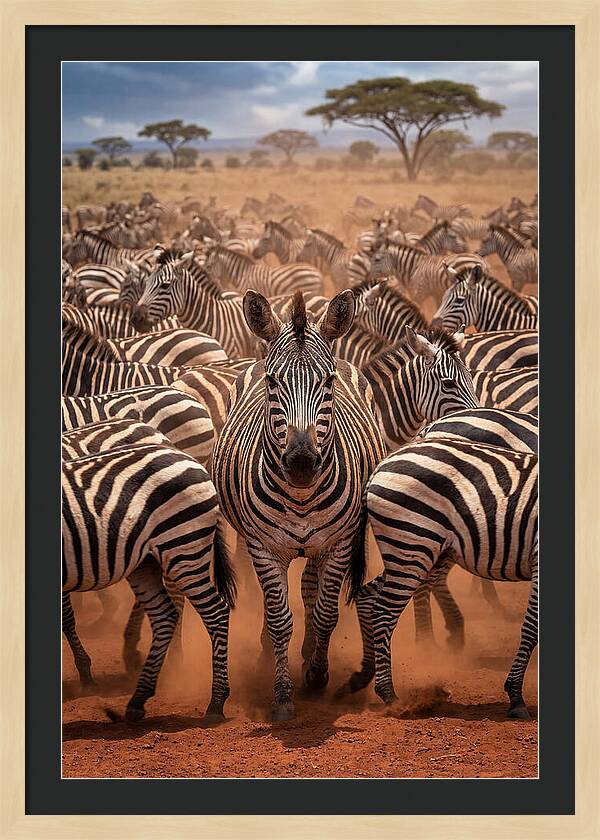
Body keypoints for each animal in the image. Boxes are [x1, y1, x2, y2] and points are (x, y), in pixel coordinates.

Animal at [62, 440, 236, 722]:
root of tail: (189, 458)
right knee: (165, 615)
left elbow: (66, 617)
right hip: (146, 561)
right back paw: (138, 698)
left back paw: (216, 703)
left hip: (183, 547)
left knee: (216, 613)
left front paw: (86, 674)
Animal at [213, 289, 385, 720]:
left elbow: (326, 611)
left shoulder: (340, 543)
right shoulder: (263, 547)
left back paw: (309, 654)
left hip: (324, 544)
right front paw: (282, 694)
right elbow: (278, 618)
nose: (302, 462)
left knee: (310, 586)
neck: (302, 497)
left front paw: (317, 675)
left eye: (328, 382)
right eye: (273, 382)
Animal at [352, 438, 538, 719]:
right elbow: (531, 628)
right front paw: (515, 696)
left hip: (413, 550)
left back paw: (363, 675)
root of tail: (382, 464)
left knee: (366, 597)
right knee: (383, 613)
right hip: (412, 543)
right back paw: (389, 695)